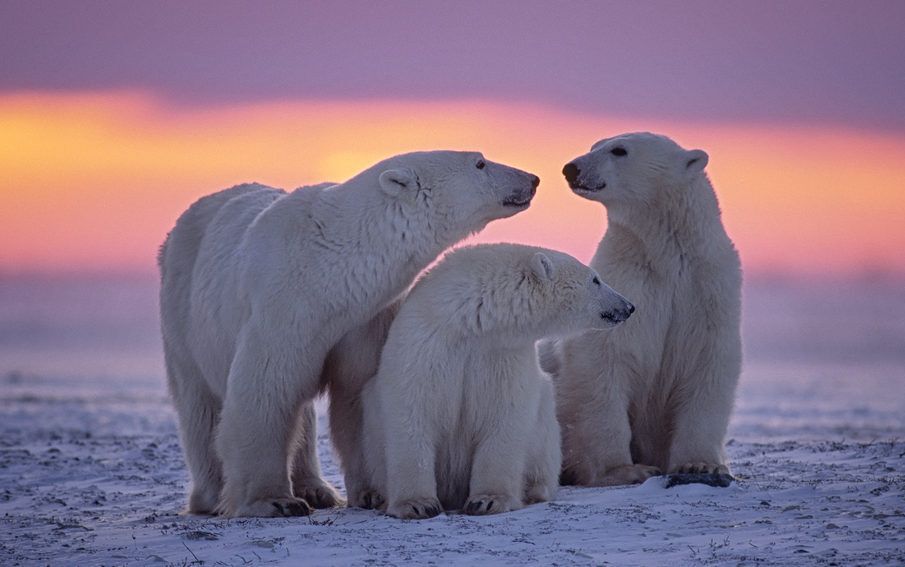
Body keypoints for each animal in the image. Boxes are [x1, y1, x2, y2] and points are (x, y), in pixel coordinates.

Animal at [158, 151, 539, 517]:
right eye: (480, 162)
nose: (532, 178)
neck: (330, 268)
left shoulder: (364, 319)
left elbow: (358, 393)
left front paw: (372, 493)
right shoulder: (282, 307)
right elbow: (265, 390)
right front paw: (274, 501)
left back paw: (317, 489)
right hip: (183, 312)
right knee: (200, 405)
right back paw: (211, 496)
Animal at [354, 243, 635, 519]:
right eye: (595, 279)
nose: (629, 306)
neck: (471, 322)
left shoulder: (503, 355)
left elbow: (504, 417)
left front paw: (487, 500)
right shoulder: (426, 343)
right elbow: (412, 412)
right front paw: (417, 504)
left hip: (545, 425)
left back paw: (534, 490)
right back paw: (376, 497)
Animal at [543, 132, 742, 486]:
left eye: (619, 150)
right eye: (594, 145)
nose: (571, 168)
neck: (666, 256)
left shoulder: (708, 290)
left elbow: (708, 365)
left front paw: (700, 465)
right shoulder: (628, 284)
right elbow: (603, 360)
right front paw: (625, 469)